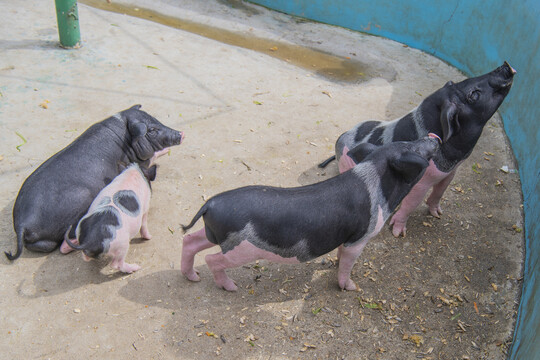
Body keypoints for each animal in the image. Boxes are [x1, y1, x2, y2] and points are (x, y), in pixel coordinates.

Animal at [5, 105, 186, 260]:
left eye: (156, 120)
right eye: (152, 130)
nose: (181, 133)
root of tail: (21, 224)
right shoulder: (138, 163)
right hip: (81, 200)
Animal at [318, 62, 516, 236]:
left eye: (464, 80)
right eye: (474, 95)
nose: (506, 65)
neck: (455, 156)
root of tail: (340, 139)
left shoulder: (450, 172)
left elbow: (440, 192)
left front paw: (438, 214)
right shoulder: (421, 181)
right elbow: (411, 203)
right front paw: (398, 233)